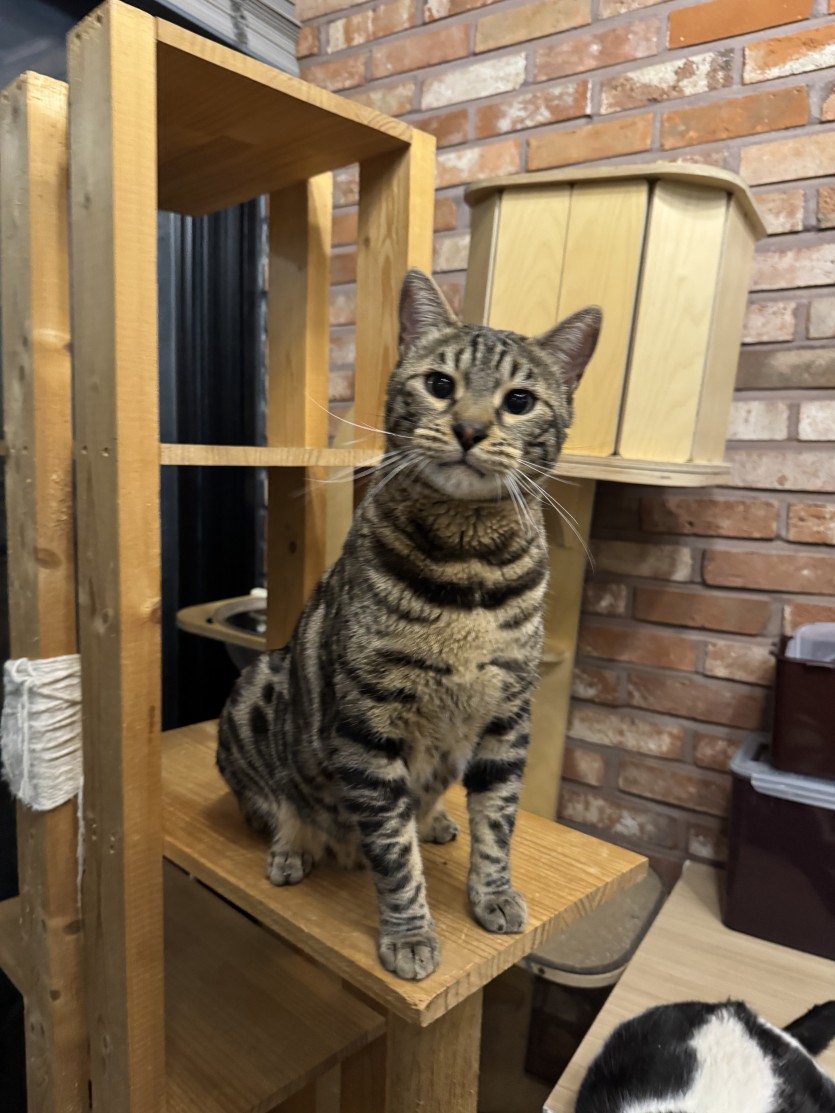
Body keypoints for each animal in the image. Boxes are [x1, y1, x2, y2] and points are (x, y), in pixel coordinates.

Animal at [217, 268, 601, 981]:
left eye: (520, 400)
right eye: (440, 385)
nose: (471, 428)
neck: (468, 568)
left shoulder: (508, 718)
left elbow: (498, 821)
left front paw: (493, 893)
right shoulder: (367, 728)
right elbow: (394, 855)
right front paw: (410, 932)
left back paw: (435, 819)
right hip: (258, 688)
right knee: (273, 801)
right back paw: (293, 846)